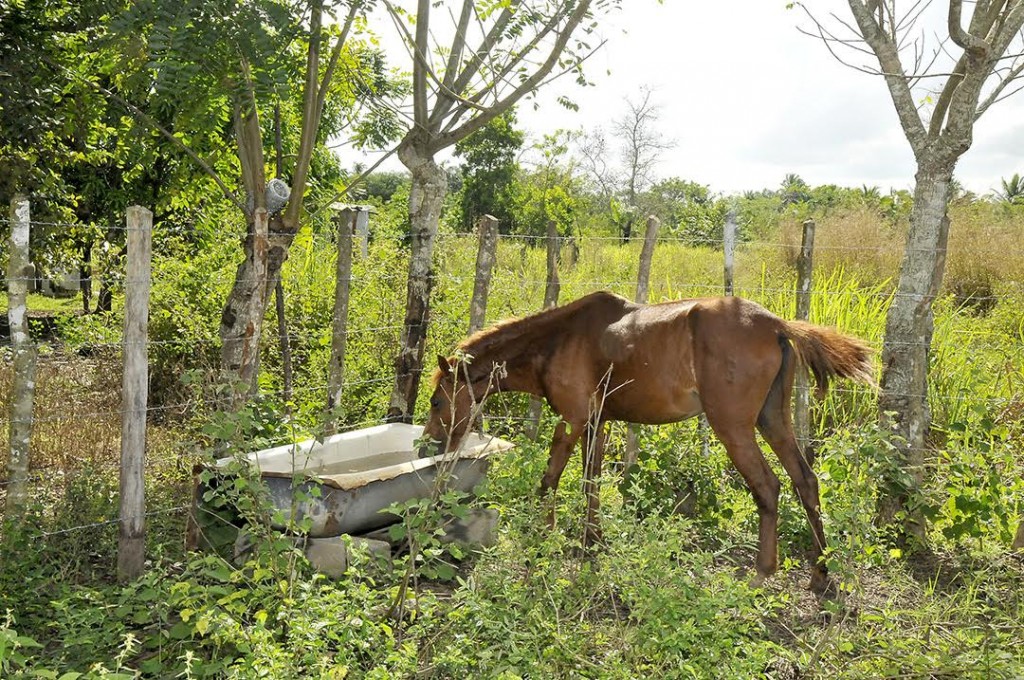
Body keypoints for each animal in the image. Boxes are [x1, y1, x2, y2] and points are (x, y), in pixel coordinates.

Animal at [420, 291, 874, 592]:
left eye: (437, 400)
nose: (428, 445)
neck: (557, 340)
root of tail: (778, 325)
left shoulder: (573, 420)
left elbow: (550, 479)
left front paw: (541, 539)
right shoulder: (597, 424)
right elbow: (590, 483)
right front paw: (592, 543)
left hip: (734, 428)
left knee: (769, 486)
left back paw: (761, 573)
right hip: (772, 422)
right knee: (805, 481)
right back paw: (821, 574)